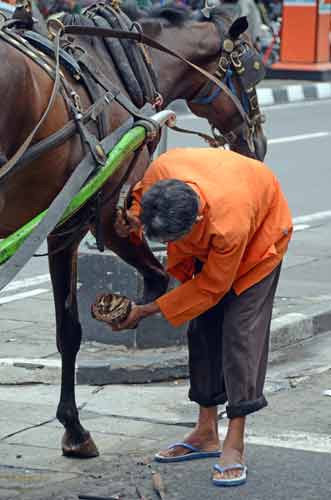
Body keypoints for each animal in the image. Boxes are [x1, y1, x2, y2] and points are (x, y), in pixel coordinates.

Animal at [0, 2, 268, 458]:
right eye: (252, 69)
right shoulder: (104, 220)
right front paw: (76, 429)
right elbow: (144, 287)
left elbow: (68, 330)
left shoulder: (62, 225)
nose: (260, 143)